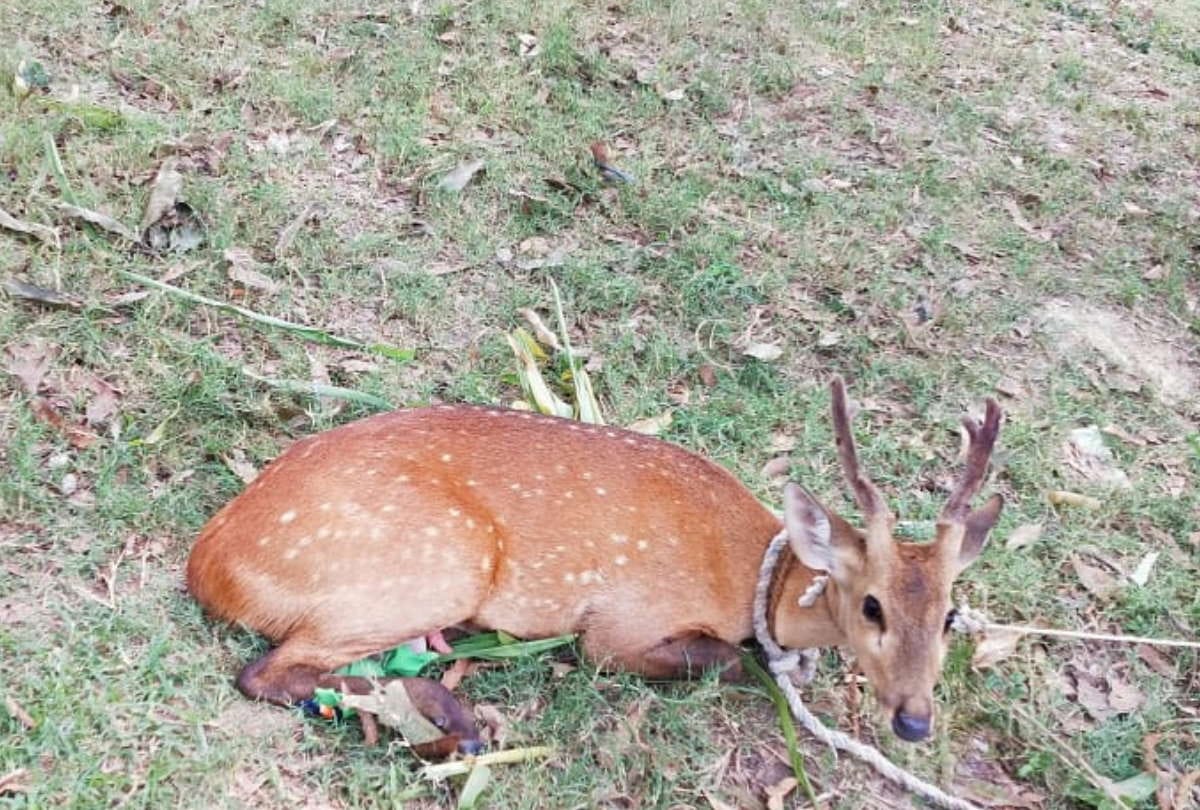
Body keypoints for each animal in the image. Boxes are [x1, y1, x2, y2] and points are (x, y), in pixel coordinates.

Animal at [186, 377, 1003, 752]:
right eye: (872, 605)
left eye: (950, 615)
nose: (915, 721)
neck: (752, 578)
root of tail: (209, 561)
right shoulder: (620, 625)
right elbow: (730, 662)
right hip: (434, 562)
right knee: (266, 671)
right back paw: (453, 721)